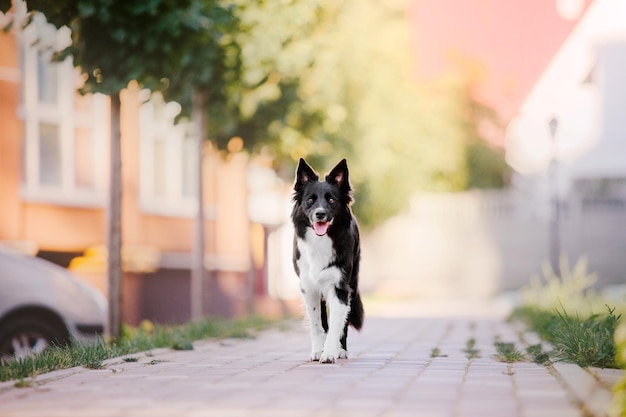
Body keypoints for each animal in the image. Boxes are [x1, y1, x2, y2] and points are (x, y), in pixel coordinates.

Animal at [292, 158, 364, 362]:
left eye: (331, 200)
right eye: (310, 200)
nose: (320, 214)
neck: (321, 241)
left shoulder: (340, 287)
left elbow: (336, 325)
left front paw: (330, 352)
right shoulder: (308, 288)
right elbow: (318, 324)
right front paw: (318, 351)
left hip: (352, 283)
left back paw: (342, 350)